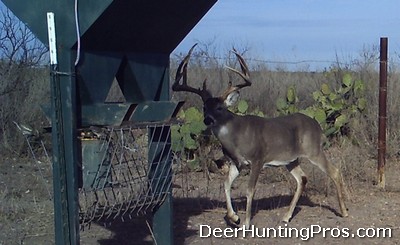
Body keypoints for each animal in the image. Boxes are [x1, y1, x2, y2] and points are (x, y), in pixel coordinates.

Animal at [173, 43, 348, 228]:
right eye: (204, 107)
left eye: (220, 107)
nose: (207, 119)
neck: (235, 138)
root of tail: (318, 125)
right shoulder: (236, 163)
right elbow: (226, 184)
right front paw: (234, 217)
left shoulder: (258, 159)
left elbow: (250, 190)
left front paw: (245, 224)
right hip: (291, 160)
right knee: (302, 178)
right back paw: (286, 216)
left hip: (314, 150)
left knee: (334, 171)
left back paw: (343, 212)